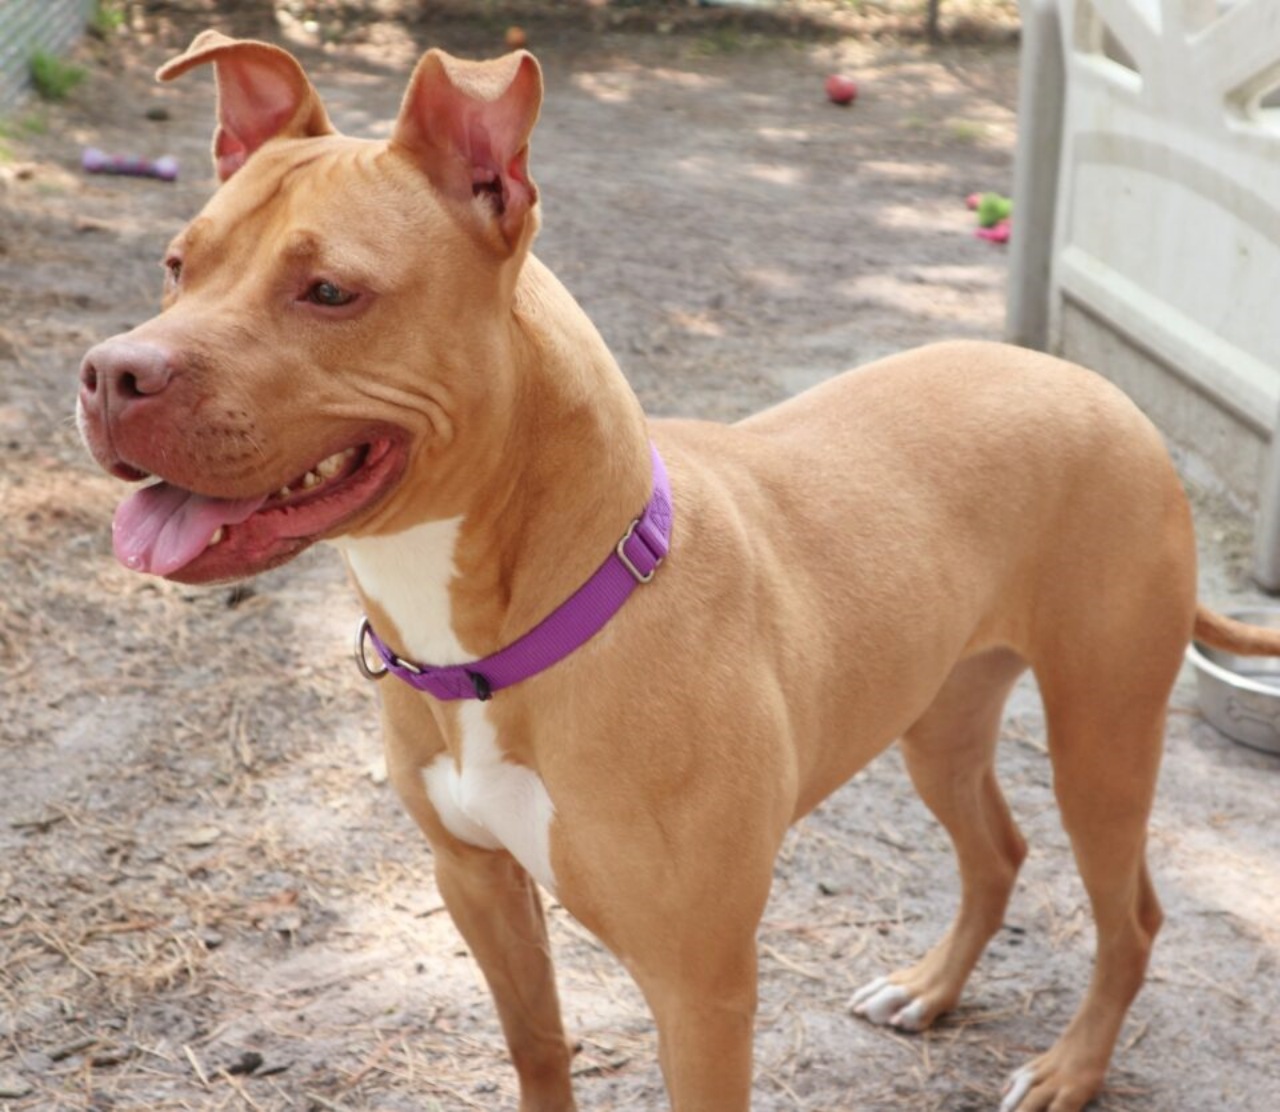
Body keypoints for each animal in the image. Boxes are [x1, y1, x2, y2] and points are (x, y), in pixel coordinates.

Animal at [77, 28, 1280, 1110]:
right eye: (177, 265)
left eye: (329, 291)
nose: (108, 372)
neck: (517, 628)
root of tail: (1096, 386)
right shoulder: (478, 887)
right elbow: (540, 1053)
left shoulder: (699, 986)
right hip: (937, 715)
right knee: (997, 851)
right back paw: (929, 988)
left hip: (1102, 736)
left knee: (1130, 916)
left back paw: (1071, 1068)